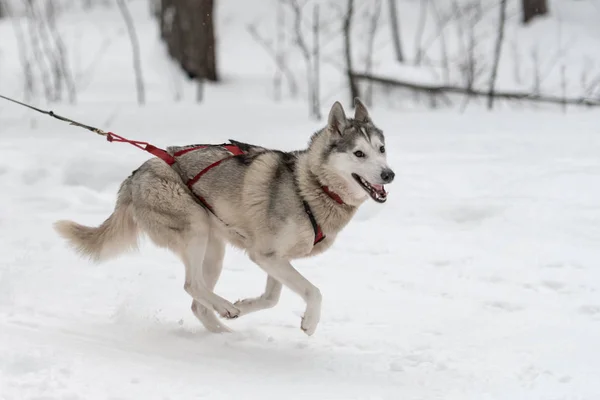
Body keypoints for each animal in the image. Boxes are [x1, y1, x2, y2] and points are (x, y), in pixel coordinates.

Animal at [55, 98, 394, 336]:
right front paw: (309, 323)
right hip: (195, 229)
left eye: (381, 148)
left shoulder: (276, 258)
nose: (389, 174)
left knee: (197, 304)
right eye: (359, 153)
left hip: (214, 250)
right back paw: (224, 310)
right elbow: (313, 291)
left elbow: (272, 297)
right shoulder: (265, 255)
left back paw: (226, 332)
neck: (309, 185)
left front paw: (245, 306)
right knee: (191, 286)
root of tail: (135, 175)